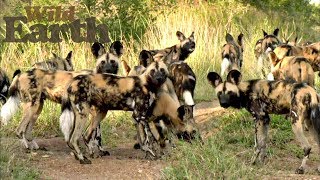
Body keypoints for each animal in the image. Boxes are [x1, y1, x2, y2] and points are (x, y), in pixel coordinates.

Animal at [59, 60, 196, 165]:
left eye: (162, 70)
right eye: (153, 71)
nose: (158, 78)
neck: (148, 84)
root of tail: (72, 81)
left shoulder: (140, 118)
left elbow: (147, 139)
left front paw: (150, 154)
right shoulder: (140, 116)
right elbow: (148, 140)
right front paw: (153, 154)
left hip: (100, 114)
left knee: (84, 136)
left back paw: (88, 155)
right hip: (83, 114)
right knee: (73, 138)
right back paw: (82, 159)